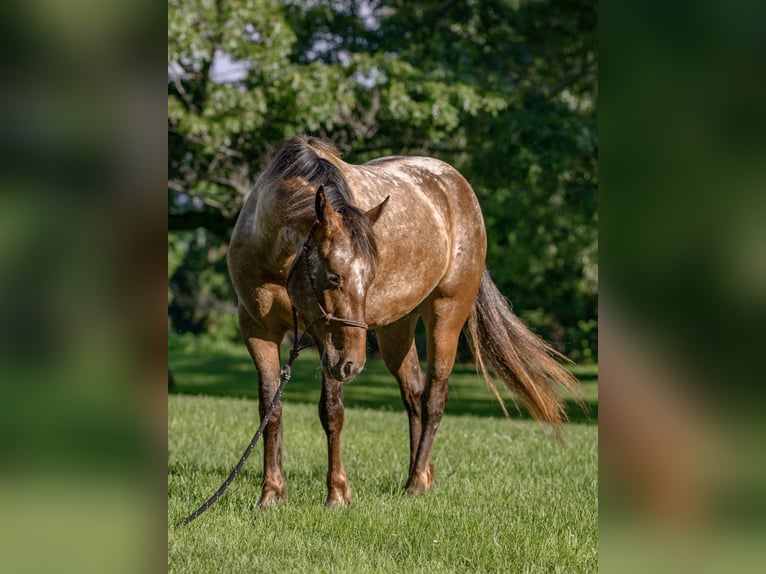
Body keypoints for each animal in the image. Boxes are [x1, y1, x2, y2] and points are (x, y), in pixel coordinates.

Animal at [227, 135, 578, 507]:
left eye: (369, 278)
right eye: (334, 277)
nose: (353, 365)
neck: (276, 255)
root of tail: (458, 187)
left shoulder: (327, 343)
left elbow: (332, 412)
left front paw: (337, 493)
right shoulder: (258, 331)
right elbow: (271, 409)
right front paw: (271, 494)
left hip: (445, 318)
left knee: (434, 398)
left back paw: (415, 481)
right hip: (395, 330)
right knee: (414, 394)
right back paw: (422, 476)